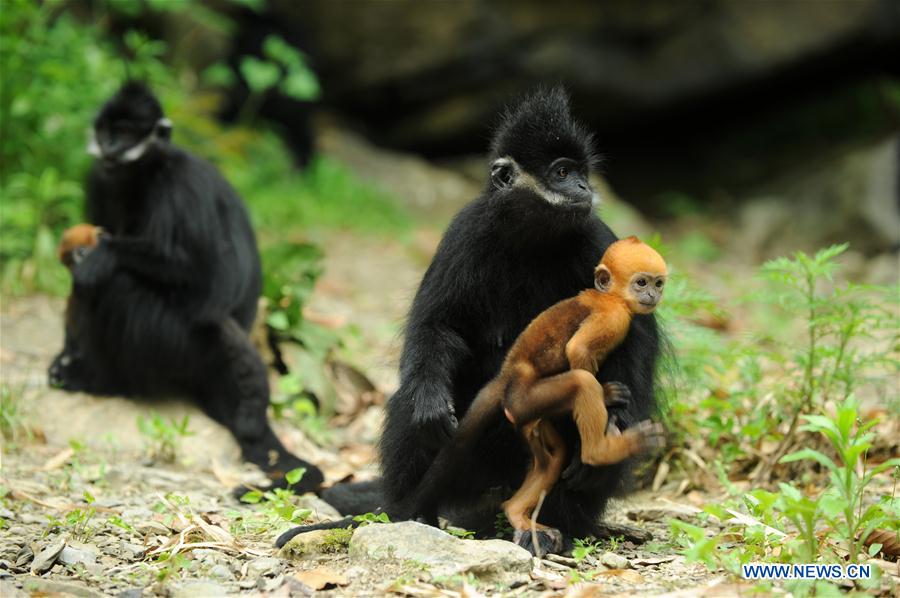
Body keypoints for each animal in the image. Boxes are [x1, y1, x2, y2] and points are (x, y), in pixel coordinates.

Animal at [47, 84, 324, 496]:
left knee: (116, 283)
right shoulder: (100, 177)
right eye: (106, 131)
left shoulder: (180, 186)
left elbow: (206, 284)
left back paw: (104, 380)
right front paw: (66, 351)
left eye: (126, 133)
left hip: (180, 344)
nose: (110, 147)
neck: (143, 175)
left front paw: (104, 255)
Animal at [400, 237, 668, 556]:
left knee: (552, 458)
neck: (611, 297)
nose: (652, 294)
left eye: (658, 283)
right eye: (641, 282)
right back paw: (600, 450)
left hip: (530, 417)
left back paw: (518, 513)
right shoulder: (611, 318)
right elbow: (578, 350)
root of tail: (508, 374)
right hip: (528, 396)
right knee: (581, 383)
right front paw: (605, 395)